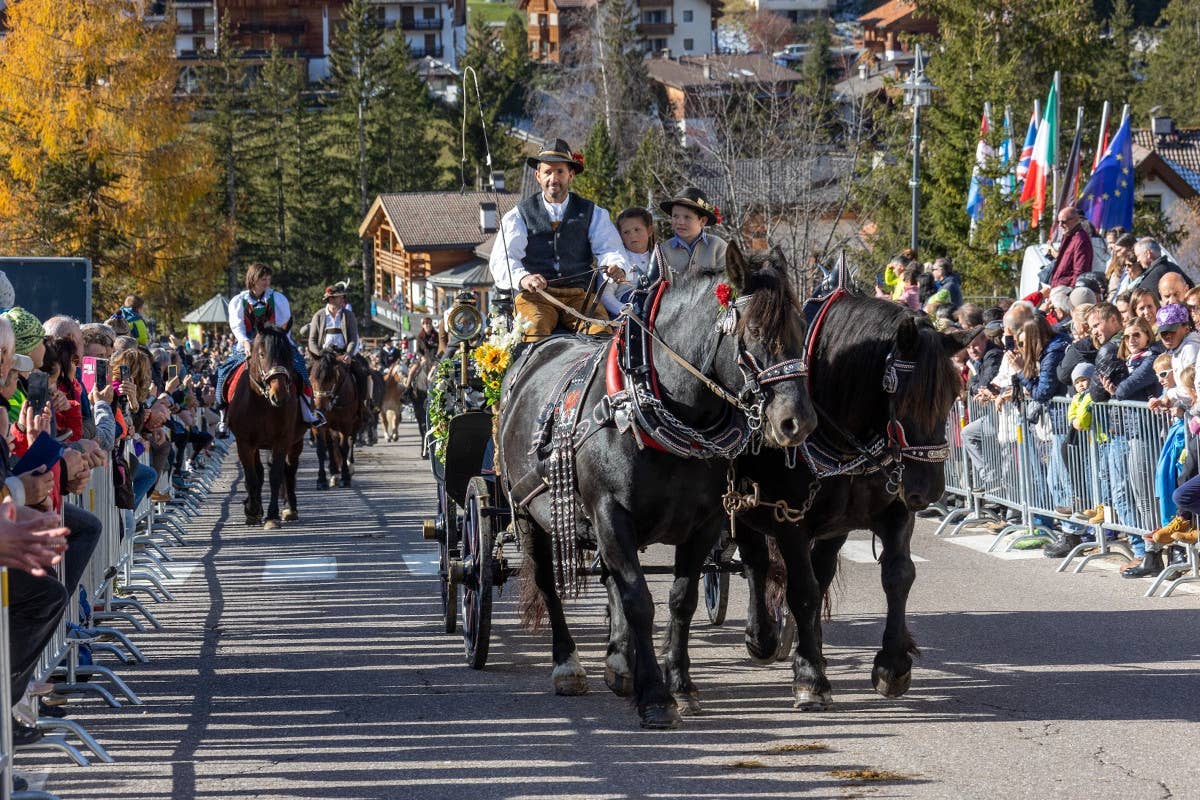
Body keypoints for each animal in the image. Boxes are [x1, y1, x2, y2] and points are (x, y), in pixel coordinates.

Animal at [225, 321, 307, 527]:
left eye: (288, 354)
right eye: (261, 354)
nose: (279, 395)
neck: (262, 403)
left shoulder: (282, 441)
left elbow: (276, 475)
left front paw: (271, 515)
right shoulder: (245, 443)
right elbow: (252, 476)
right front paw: (253, 510)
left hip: (296, 442)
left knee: (289, 470)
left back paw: (290, 508)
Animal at [307, 350, 357, 489]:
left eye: (332, 379)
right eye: (311, 379)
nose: (318, 411)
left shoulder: (346, 424)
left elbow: (344, 447)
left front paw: (345, 478)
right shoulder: (318, 426)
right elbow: (321, 449)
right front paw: (321, 480)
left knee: (351, 440)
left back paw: (349, 466)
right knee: (330, 445)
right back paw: (334, 472)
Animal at [494, 245, 816, 734]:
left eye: (801, 329)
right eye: (755, 332)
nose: (798, 421)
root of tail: (541, 348)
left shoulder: (704, 523)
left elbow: (679, 600)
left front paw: (680, 685)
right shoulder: (610, 514)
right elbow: (639, 601)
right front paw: (655, 698)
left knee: (610, 581)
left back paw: (619, 664)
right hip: (528, 513)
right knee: (550, 585)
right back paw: (568, 665)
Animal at [729, 291, 974, 710]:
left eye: (953, 396)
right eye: (903, 398)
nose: (928, 490)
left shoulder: (894, 510)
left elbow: (898, 575)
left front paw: (892, 664)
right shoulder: (789, 520)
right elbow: (802, 590)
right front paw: (809, 676)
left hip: (834, 526)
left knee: (819, 570)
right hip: (740, 504)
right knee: (756, 562)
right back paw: (763, 637)